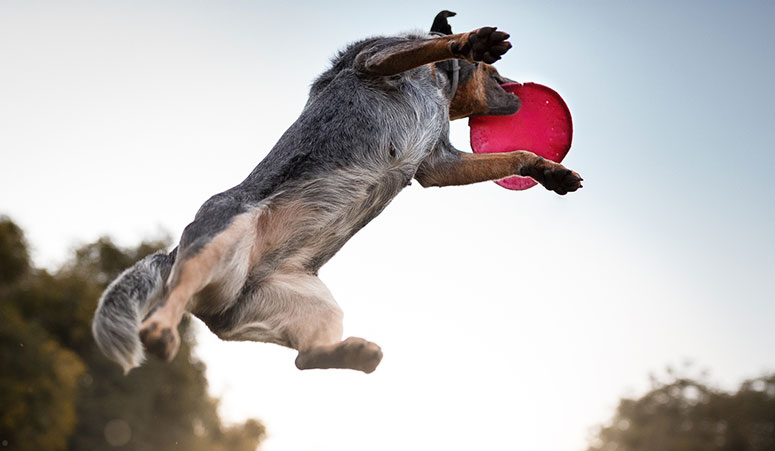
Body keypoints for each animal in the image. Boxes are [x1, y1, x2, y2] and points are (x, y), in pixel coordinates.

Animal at [92, 12, 584, 376]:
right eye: (494, 70)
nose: (519, 90)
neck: (440, 87)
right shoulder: (378, 58)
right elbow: (427, 45)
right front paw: (471, 41)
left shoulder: (438, 165)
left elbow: (516, 153)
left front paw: (548, 171)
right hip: (219, 235)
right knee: (172, 298)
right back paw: (161, 331)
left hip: (315, 306)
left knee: (304, 358)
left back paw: (354, 354)